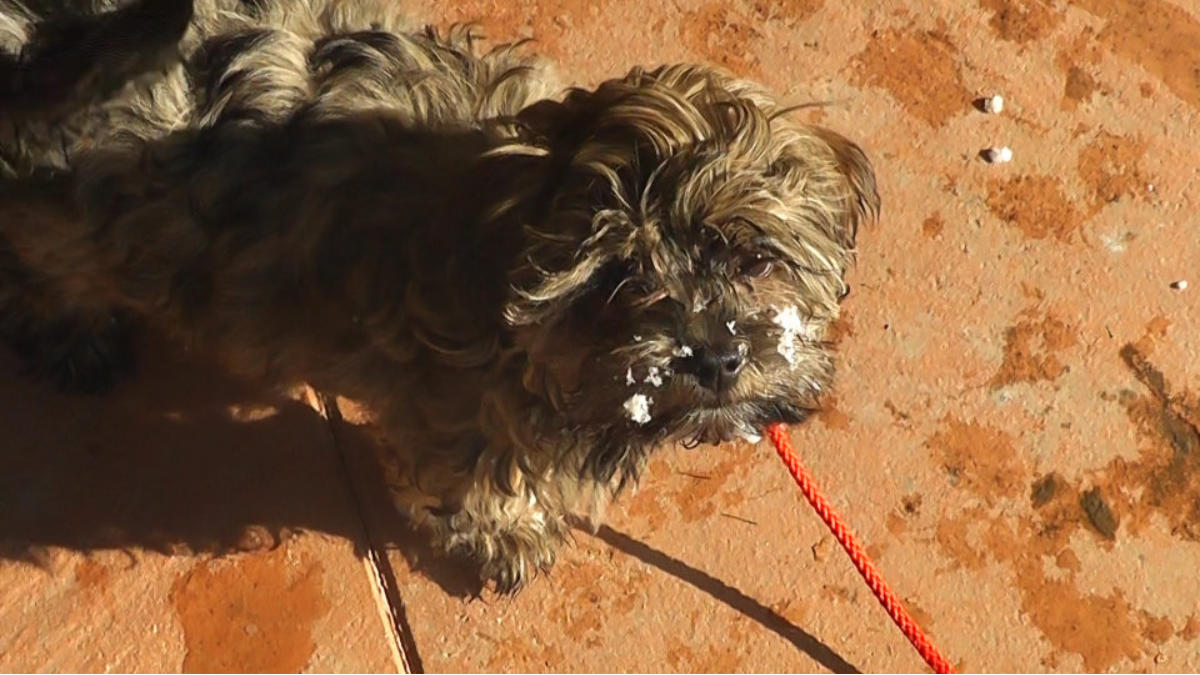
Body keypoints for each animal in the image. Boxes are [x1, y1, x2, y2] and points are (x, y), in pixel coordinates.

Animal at [0, 0, 878, 592]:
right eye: (624, 278)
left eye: (754, 258)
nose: (718, 355)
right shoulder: (454, 412)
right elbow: (474, 479)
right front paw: (505, 534)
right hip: (78, 217)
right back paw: (71, 332)